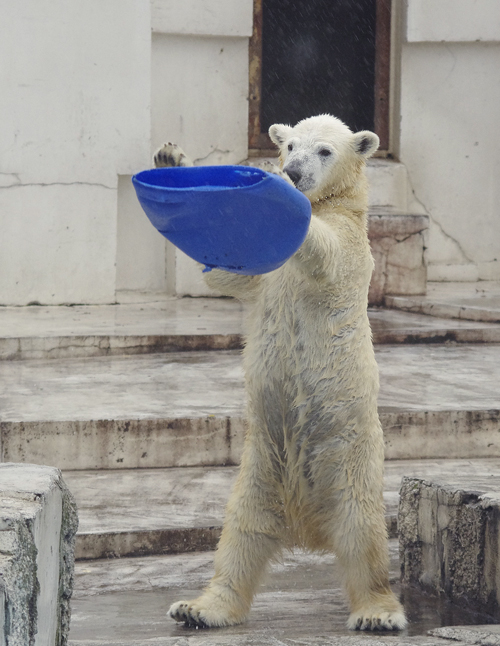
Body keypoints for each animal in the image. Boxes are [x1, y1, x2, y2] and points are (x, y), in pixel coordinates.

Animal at [155, 115, 406, 632]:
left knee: (362, 533)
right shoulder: (267, 276)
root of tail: (304, 523)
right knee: (239, 534)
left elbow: (325, 250)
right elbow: (226, 272)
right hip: (260, 467)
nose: (291, 171)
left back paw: (377, 612)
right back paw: (199, 608)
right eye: (289, 145)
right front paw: (173, 159)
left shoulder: (351, 244)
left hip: (349, 460)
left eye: (324, 150)